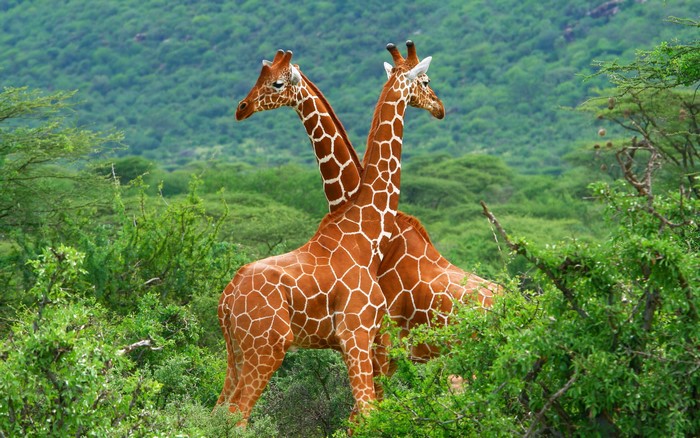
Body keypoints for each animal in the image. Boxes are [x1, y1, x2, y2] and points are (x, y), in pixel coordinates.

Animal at [217, 41, 443, 421]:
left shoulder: (368, 339)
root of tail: (226, 299)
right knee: (236, 415)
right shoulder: (357, 333)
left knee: (216, 411)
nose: (440, 107)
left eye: (275, 82)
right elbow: (367, 413)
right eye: (425, 81)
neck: (367, 232)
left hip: (235, 353)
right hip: (266, 347)